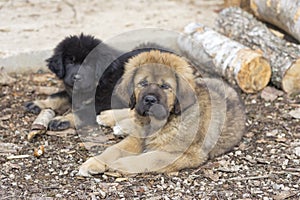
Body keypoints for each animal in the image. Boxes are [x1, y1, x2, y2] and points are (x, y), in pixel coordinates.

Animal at [25, 34, 169, 131]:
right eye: (70, 61)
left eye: (89, 64)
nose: (77, 77)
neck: (99, 81)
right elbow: (58, 96)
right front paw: (39, 103)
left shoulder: (105, 102)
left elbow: (83, 112)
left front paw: (62, 119)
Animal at [78, 50, 246, 177]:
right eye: (143, 83)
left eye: (165, 86)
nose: (150, 100)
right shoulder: (137, 139)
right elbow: (113, 149)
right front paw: (94, 162)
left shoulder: (183, 154)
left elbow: (148, 158)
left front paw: (119, 164)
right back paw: (108, 116)